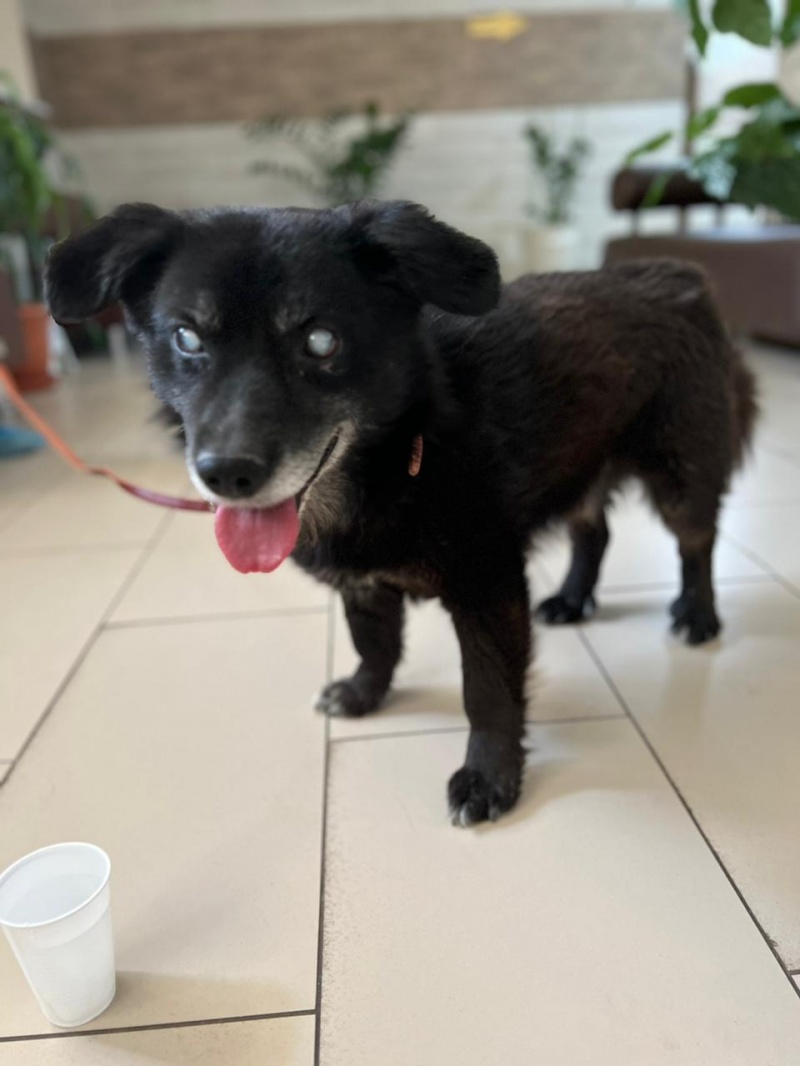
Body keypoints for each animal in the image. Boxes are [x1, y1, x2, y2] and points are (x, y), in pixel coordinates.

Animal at [45, 200, 757, 826]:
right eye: (187, 337)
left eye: (321, 340)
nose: (227, 474)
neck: (400, 460)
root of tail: (679, 275)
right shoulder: (361, 584)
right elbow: (375, 643)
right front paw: (364, 693)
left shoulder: (488, 587)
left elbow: (488, 690)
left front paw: (489, 778)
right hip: (580, 465)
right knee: (596, 530)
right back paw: (573, 598)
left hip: (681, 474)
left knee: (697, 542)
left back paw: (697, 614)